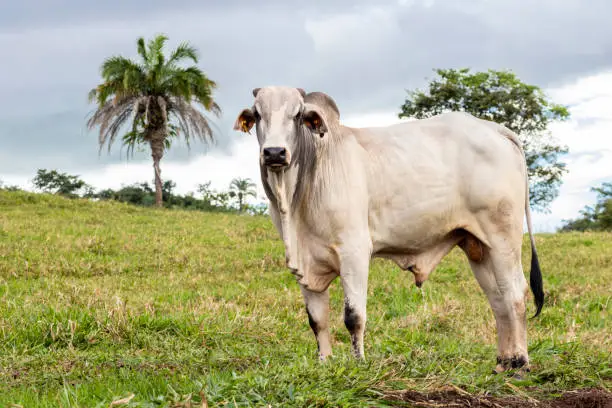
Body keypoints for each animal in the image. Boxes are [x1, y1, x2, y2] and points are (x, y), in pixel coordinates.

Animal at [234, 87, 544, 376]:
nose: (274, 153)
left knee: (515, 293)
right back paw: (503, 361)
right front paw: (324, 362)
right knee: (498, 299)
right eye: (258, 113)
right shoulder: (304, 263)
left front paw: (359, 363)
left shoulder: (354, 251)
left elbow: (353, 316)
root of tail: (496, 129)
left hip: (503, 237)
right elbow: (317, 319)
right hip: (478, 246)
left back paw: (520, 363)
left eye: (297, 114)